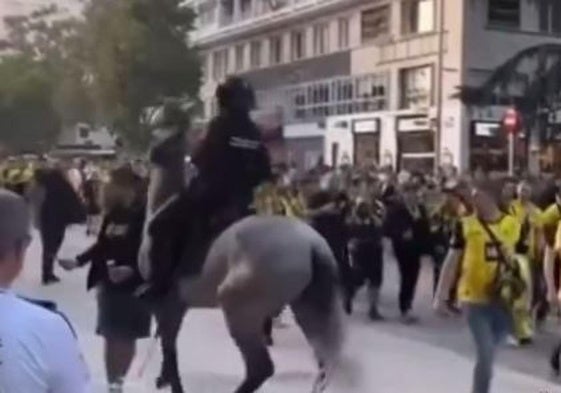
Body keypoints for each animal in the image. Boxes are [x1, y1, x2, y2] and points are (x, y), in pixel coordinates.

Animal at [137, 126, 346, 392]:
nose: (147, 157)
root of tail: (311, 243)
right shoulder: (177, 305)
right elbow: (168, 342)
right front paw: (165, 377)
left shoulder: (166, 303)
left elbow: (168, 344)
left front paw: (171, 382)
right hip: (306, 308)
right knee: (323, 362)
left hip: (240, 310)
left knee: (261, 368)